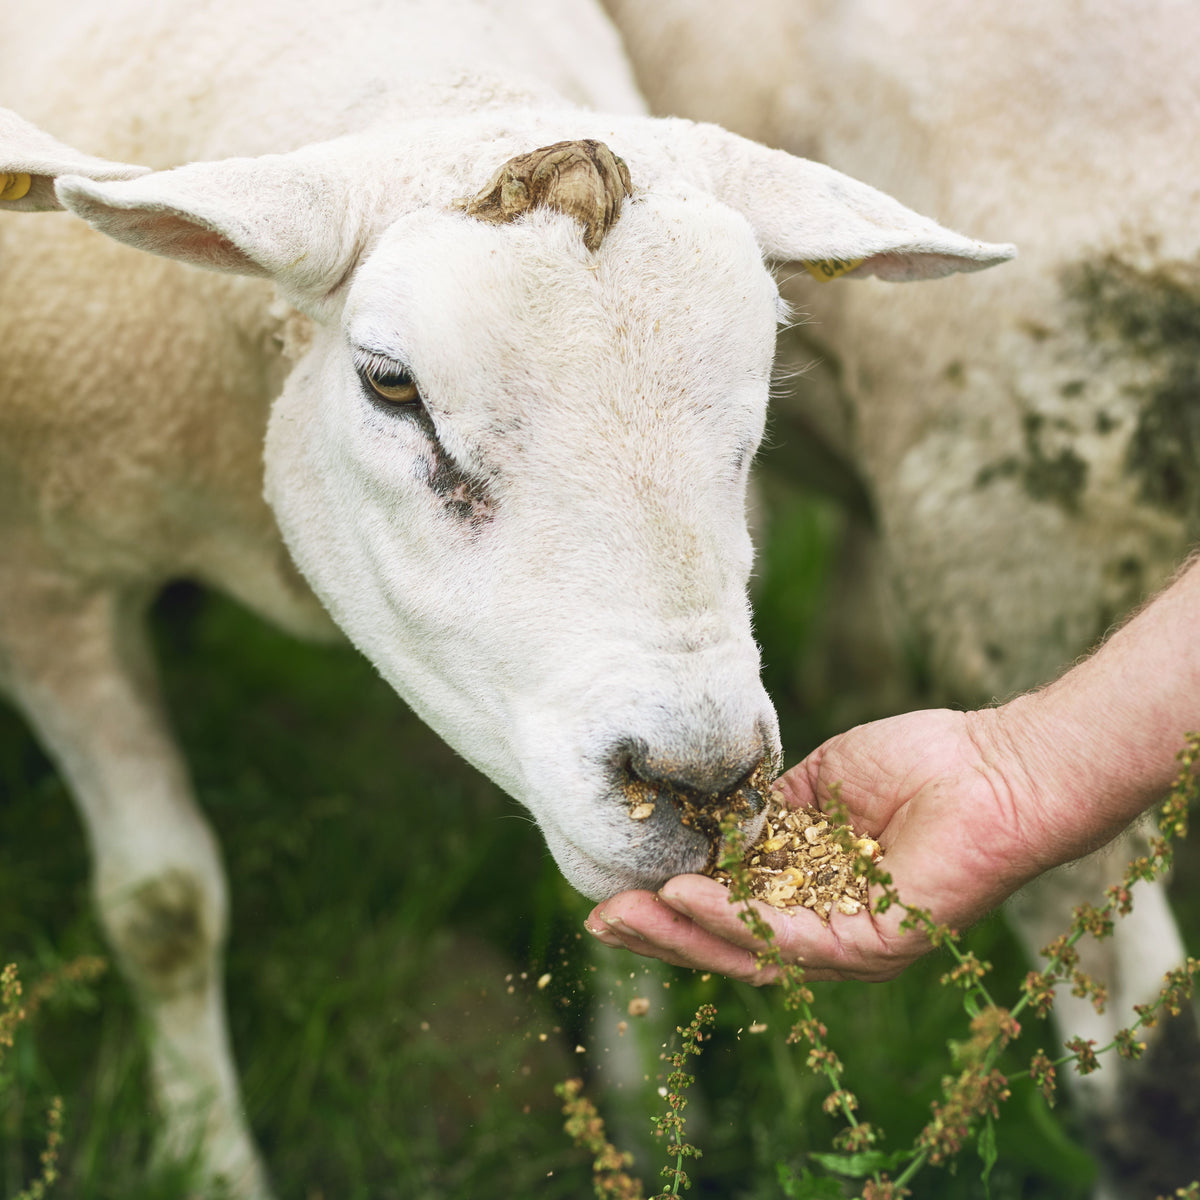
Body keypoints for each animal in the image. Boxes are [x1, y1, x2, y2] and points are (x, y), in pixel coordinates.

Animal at [0, 0, 1013, 1192]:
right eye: (390, 383)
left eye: (764, 385)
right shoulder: (44, 587)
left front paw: (644, 1116)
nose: (703, 786)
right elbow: (165, 910)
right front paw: (213, 1162)